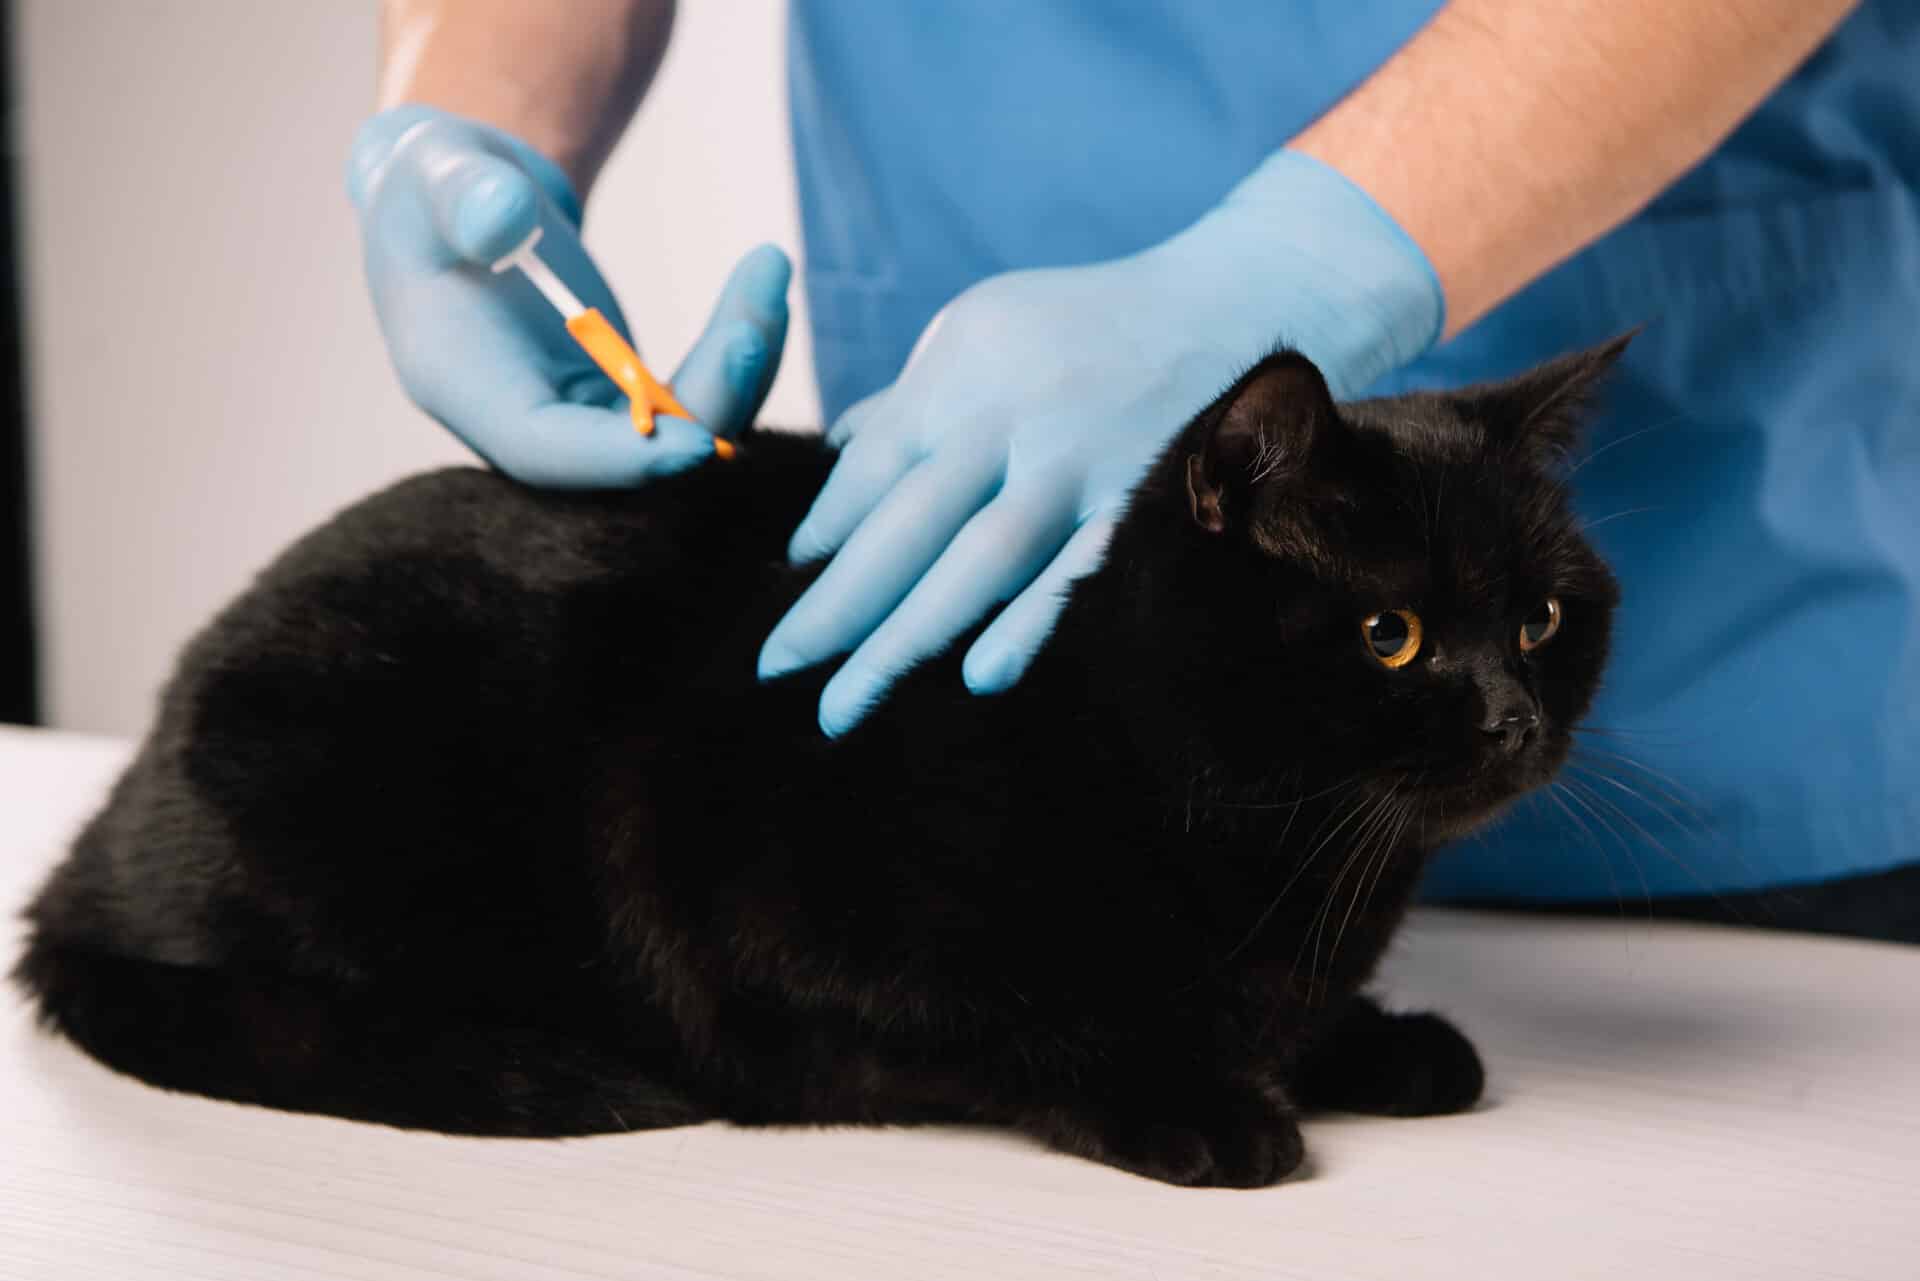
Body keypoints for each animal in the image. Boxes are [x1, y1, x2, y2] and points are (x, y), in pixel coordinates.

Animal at [15, 338, 1620, 1183]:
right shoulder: (778, 940)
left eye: (1541, 619)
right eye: (1393, 635)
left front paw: (1378, 1042)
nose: (1513, 716)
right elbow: (1030, 1025)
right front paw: (1208, 1104)